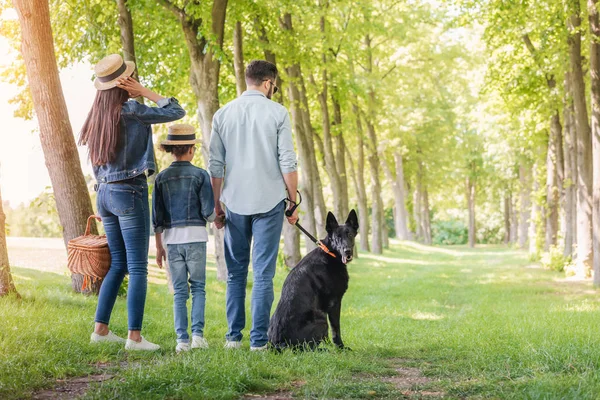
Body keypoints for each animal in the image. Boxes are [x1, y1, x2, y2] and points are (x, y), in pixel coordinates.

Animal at [266, 209, 356, 350]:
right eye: (337, 237)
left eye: (350, 235)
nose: (347, 252)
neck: (329, 252)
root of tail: (278, 343)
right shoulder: (335, 303)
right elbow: (336, 329)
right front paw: (340, 347)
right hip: (321, 320)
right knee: (307, 348)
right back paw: (324, 350)